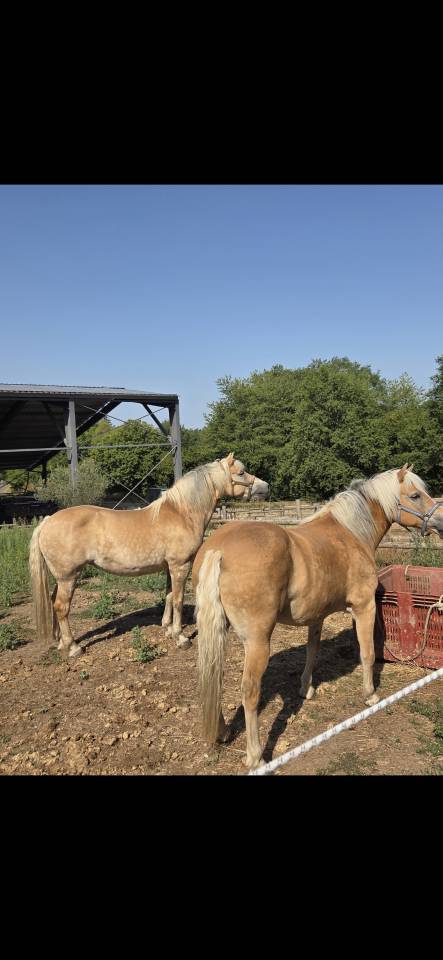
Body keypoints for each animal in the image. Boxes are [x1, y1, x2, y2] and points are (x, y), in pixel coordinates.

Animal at [29, 453, 269, 658]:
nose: (265, 487)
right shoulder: (180, 566)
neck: (182, 514)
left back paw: (60, 642)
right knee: (61, 606)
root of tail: (48, 521)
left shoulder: (169, 567)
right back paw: (72, 647)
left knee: (53, 601)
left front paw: (167, 629)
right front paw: (181, 637)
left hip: (61, 577)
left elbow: (169, 596)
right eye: (241, 473)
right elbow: (179, 600)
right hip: (68, 576)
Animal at [192, 464, 443, 769]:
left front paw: (306, 688)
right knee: (249, 693)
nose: (441, 521)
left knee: (213, 678)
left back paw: (222, 731)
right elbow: (368, 653)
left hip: (217, 633)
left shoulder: (316, 617)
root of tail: (218, 549)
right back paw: (256, 757)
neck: (350, 533)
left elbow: (312, 651)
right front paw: (370, 695)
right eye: (416, 496)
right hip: (257, 641)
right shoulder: (364, 607)